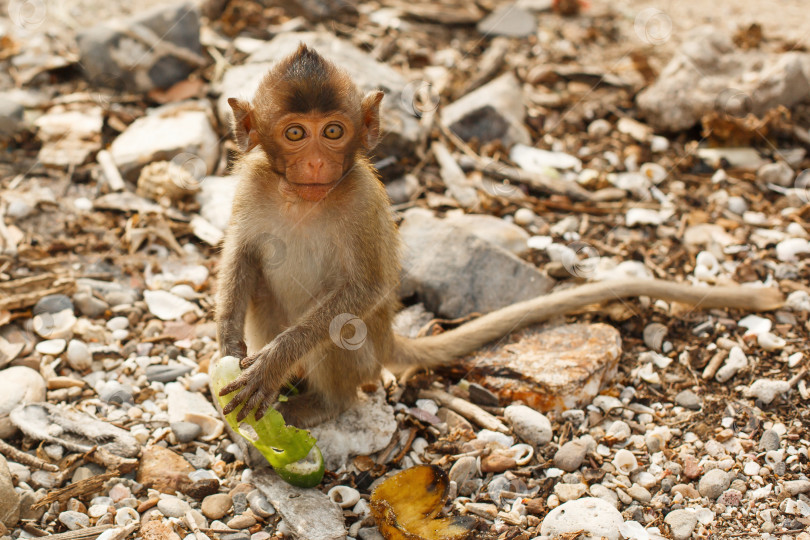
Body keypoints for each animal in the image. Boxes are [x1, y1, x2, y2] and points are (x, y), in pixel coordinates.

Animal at [216, 44, 784, 428]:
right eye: (296, 133)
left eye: (332, 131)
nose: (315, 162)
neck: (306, 197)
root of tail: (388, 341)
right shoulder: (252, 182)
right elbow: (242, 258)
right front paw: (226, 341)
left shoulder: (360, 199)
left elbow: (367, 289)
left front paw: (273, 362)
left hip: (364, 354)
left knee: (347, 333)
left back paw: (321, 401)